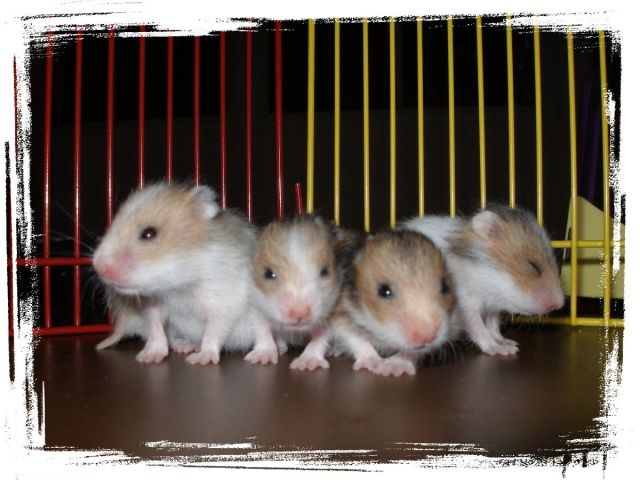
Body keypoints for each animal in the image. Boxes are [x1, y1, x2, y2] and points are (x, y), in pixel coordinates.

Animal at [93, 182, 258, 365]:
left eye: (149, 233)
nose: (99, 267)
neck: (180, 286)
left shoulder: (223, 304)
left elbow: (213, 331)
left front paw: (200, 359)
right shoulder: (153, 306)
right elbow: (156, 327)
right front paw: (148, 357)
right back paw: (185, 346)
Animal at [246, 214, 358, 369]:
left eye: (325, 271)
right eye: (268, 273)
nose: (299, 315)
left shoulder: (329, 313)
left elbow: (319, 338)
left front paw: (306, 363)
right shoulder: (256, 304)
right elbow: (262, 329)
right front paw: (262, 357)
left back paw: (334, 351)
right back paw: (280, 348)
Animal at [402, 204, 564, 356]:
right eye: (533, 266)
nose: (559, 305)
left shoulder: (493, 308)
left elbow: (493, 326)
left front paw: (509, 343)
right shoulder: (467, 306)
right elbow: (479, 328)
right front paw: (503, 350)